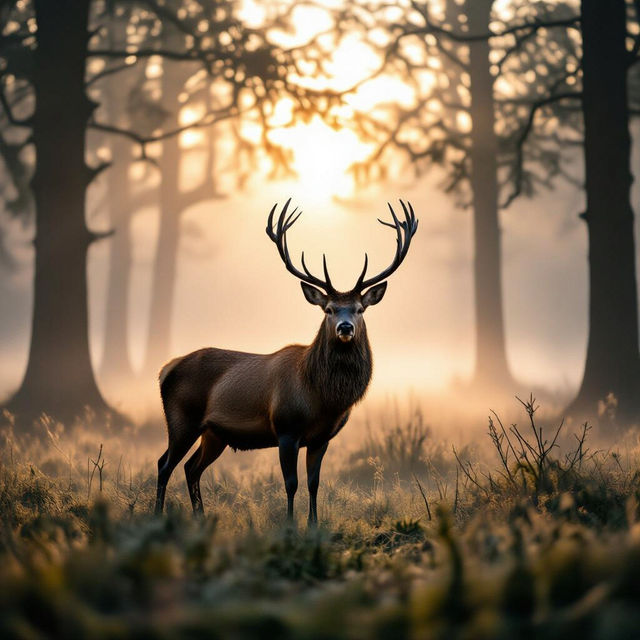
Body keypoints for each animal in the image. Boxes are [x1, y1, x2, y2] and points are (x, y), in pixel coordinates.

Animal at [155, 199, 418, 523]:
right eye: (329, 309)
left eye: (359, 309)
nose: (345, 328)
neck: (322, 398)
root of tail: (165, 370)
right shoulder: (286, 429)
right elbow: (291, 483)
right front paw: (290, 524)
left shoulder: (321, 438)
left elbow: (314, 483)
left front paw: (313, 525)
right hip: (181, 418)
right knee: (165, 464)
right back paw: (156, 515)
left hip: (214, 433)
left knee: (191, 468)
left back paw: (201, 517)